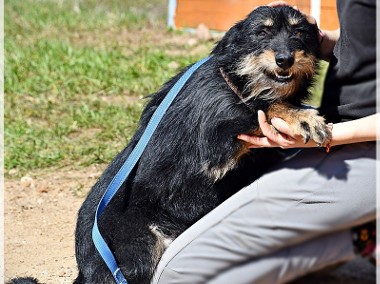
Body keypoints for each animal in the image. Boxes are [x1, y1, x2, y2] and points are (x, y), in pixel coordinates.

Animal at [8, 4, 332, 284]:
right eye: (262, 32)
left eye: (299, 32)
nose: (285, 59)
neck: (235, 82)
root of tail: (84, 270)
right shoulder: (216, 140)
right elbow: (263, 108)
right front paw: (303, 118)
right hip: (140, 248)